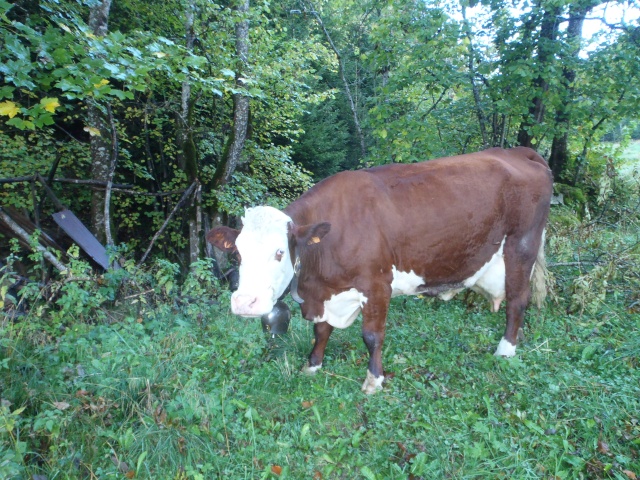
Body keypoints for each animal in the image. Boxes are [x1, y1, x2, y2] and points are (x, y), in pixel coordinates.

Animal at [208, 147, 552, 394]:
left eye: (280, 252)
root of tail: (519, 151)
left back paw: (505, 350)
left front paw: (374, 380)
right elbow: (322, 331)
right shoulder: (328, 293)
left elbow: (372, 336)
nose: (245, 303)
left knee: (517, 301)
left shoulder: (376, 285)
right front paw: (312, 365)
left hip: (521, 248)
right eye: (238, 252)